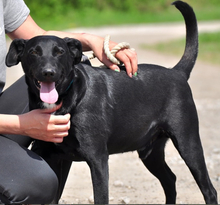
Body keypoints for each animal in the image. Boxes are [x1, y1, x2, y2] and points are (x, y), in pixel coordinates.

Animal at [6, 1, 217, 203]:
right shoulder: (52, 156)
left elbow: (101, 198)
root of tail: (177, 72)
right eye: (33, 52)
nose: (48, 72)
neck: (69, 98)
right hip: (150, 152)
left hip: (188, 144)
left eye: (59, 52)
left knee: (209, 190)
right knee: (170, 180)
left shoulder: (98, 159)